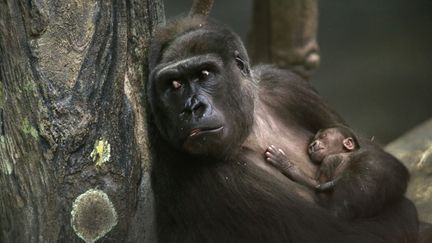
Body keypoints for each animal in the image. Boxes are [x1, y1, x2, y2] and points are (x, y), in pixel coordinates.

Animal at [264, 126, 410, 219]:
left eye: (323, 137)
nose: (312, 145)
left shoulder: (330, 160)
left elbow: (316, 183)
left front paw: (285, 164)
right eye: (313, 140)